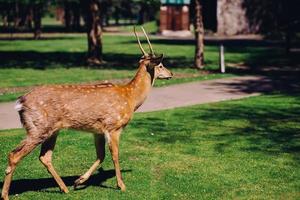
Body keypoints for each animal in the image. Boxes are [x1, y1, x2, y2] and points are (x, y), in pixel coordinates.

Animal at [0, 27, 172, 200]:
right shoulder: (114, 126)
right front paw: (121, 185)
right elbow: (115, 155)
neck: (130, 97)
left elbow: (100, 155)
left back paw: (64, 188)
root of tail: (20, 102)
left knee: (45, 157)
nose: (171, 74)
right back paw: (6, 195)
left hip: (51, 130)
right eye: (161, 65)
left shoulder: (98, 130)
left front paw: (79, 181)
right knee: (14, 155)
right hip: (38, 127)